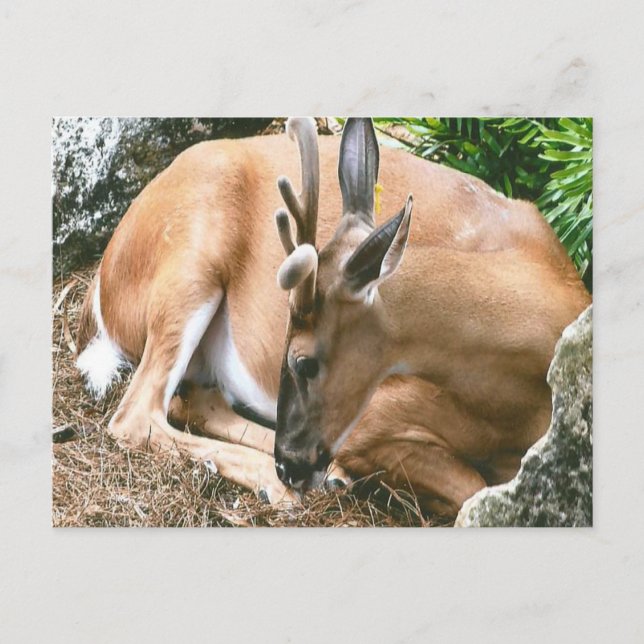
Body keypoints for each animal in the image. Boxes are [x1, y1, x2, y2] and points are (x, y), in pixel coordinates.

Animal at [75, 117, 590, 517]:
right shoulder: (376, 416)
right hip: (190, 261)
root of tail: (102, 283)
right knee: (137, 414)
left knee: (191, 398)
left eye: (302, 361)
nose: (290, 464)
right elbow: (471, 490)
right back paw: (283, 484)